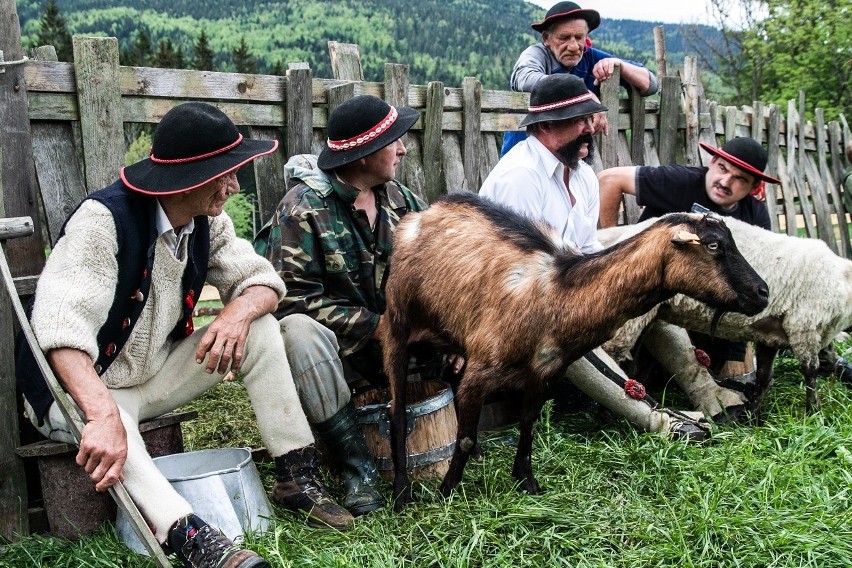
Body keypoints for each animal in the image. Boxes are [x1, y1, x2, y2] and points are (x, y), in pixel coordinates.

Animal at [382, 193, 768, 508]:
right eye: (714, 246)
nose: (762, 293)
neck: (558, 295)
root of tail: (421, 214)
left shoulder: (542, 374)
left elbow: (528, 425)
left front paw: (527, 482)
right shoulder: (479, 373)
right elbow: (462, 437)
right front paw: (446, 493)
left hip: (448, 338)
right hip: (396, 325)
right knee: (397, 411)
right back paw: (401, 493)